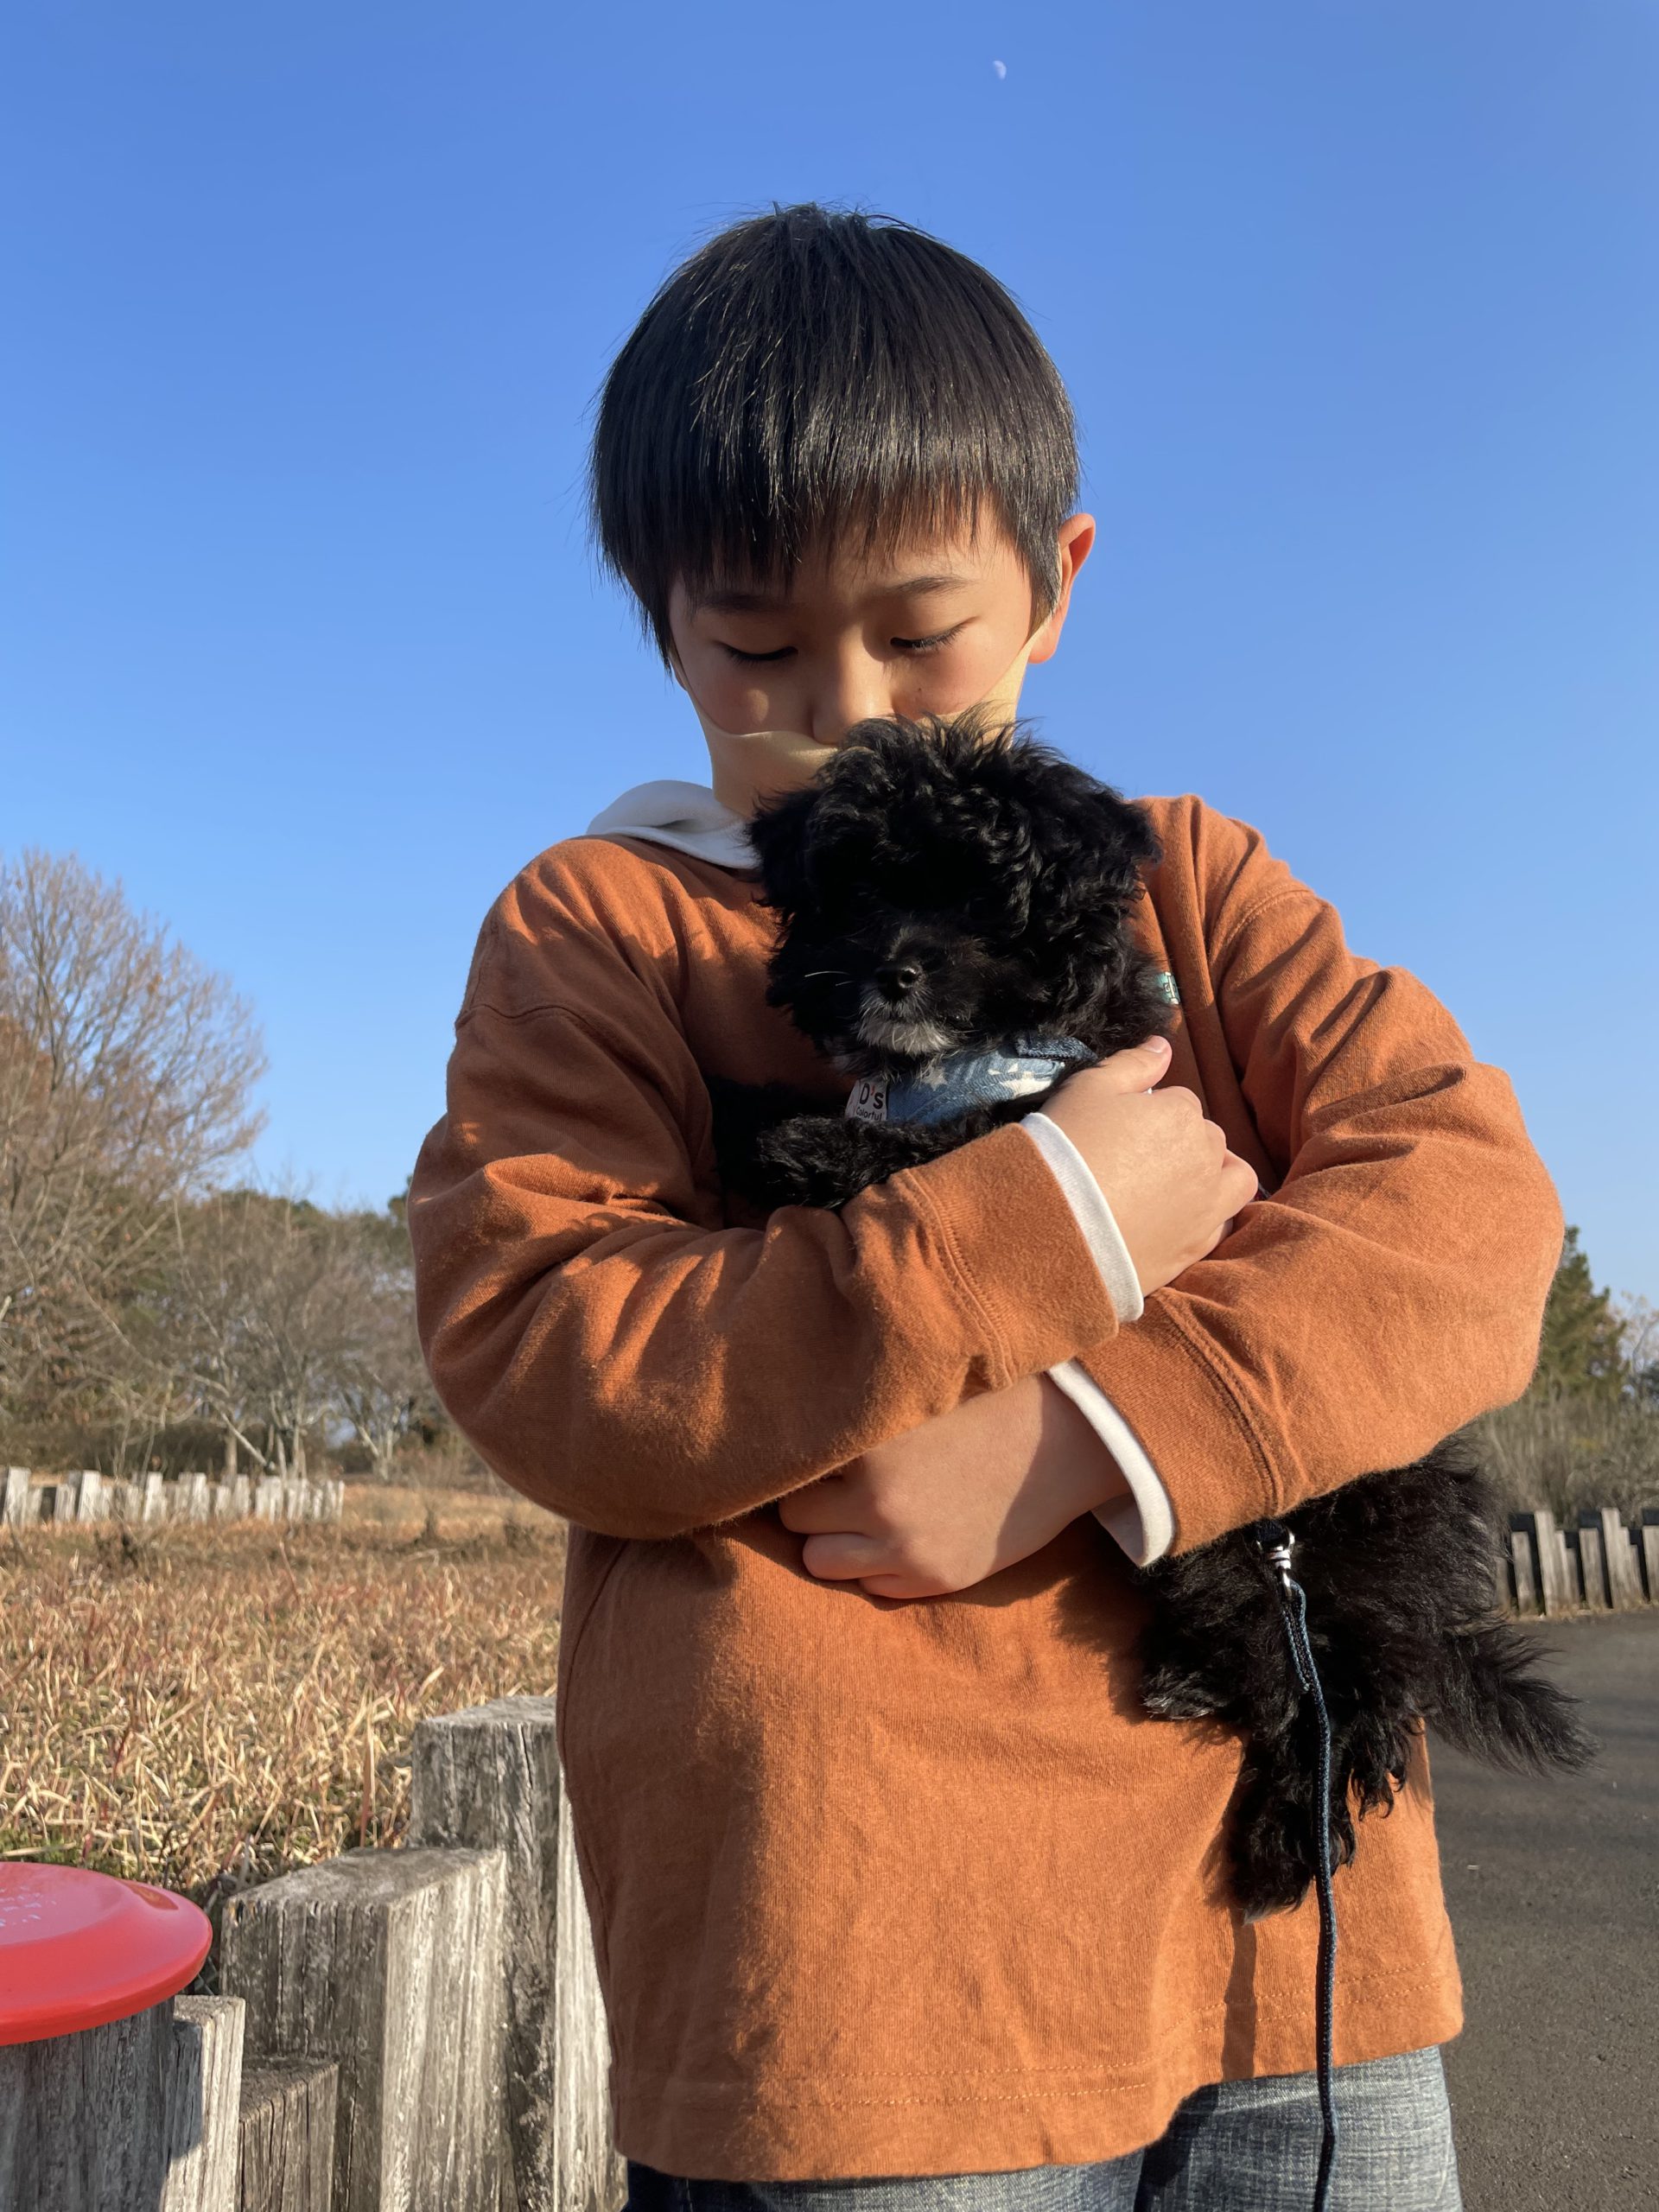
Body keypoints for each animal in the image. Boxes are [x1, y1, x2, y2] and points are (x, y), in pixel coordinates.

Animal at [708, 712, 1592, 1920]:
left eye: (983, 903)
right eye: (856, 890)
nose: (890, 970)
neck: (954, 1054)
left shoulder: (1027, 1101)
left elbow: (948, 1142)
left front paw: (795, 1139)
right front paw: (766, 1109)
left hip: (1257, 1557)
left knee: (1333, 1702)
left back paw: (1282, 1843)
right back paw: (1195, 1695)